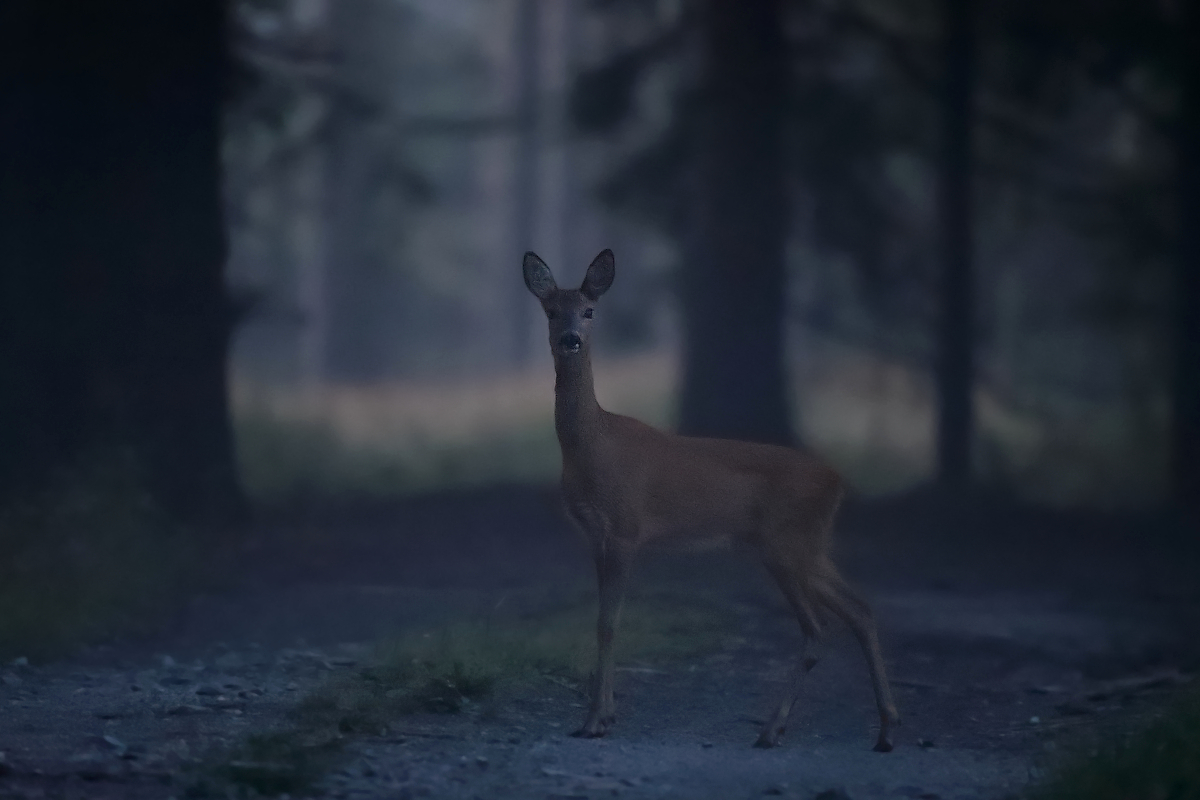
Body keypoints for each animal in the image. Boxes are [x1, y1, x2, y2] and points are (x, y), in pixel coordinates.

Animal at [525, 248, 902, 753]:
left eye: (589, 311)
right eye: (551, 311)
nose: (570, 339)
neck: (594, 446)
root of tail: (838, 479)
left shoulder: (625, 528)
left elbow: (609, 623)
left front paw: (596, 720)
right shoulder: (595, 535)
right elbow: (602, 620)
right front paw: (602, 716)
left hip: (785, 544)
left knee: (818, 627)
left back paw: (772, 729)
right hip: (808, 546)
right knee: (860, 610)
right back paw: (884, 730)